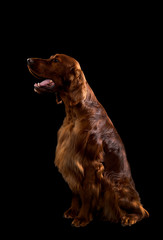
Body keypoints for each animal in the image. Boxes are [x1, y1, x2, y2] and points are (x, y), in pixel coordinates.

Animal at [27, 54, 149, 227]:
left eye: (56, 60)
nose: (28, 60)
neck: (75, 113)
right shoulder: (70, 160)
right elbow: (75, 191)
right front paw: (73, 211)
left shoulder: (90, 164)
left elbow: (87, 193)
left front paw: (82, 217)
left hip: (115, 185)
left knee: (142, 211)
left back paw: (129, 218)